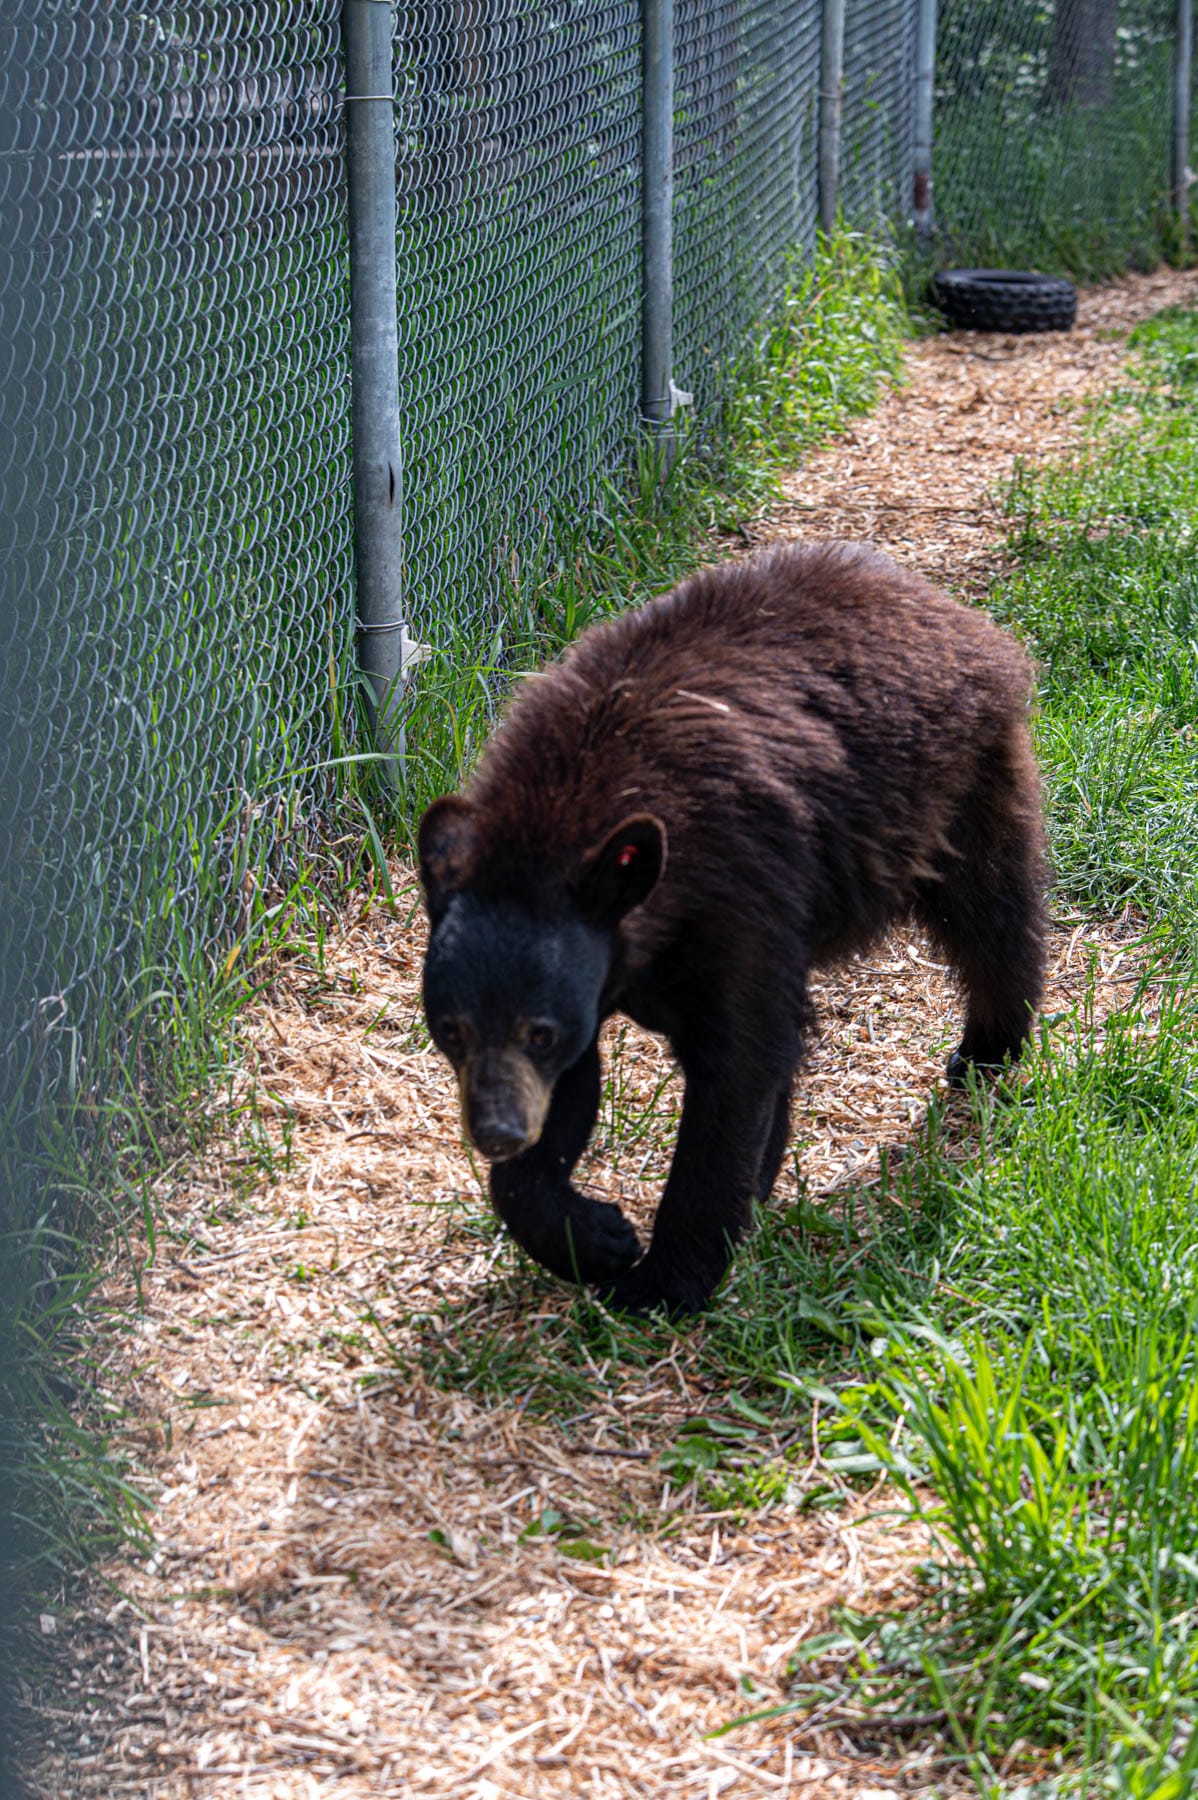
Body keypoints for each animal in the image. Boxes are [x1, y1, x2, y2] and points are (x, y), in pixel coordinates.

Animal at [417, 540, 1047, 1317]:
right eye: (451, 1030)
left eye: (539, 1030)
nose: (496, 1132)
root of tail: (949, 609)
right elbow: (574, 1091)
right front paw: (591, 1236)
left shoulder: (738, 893)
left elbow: (737, 1072)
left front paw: (664, 1279)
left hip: (961, 790)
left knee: (991, 916)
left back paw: (989, 1047)